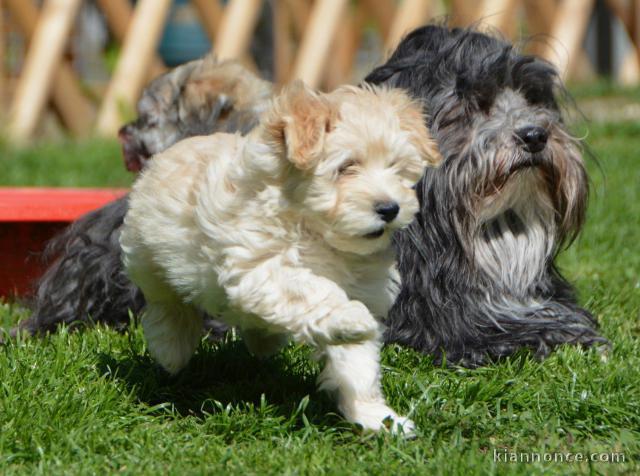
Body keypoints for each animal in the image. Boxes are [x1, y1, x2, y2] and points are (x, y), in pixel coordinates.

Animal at [121, 82, 440, 436]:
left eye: (396, 169)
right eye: (346, 167)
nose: (390, 208)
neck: (317, 231)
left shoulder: (363, 285)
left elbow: (357, 360)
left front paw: (377, 417)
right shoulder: (259, 265)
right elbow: (313, 291)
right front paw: (354, 318)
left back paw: (264, 340)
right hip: (148, 254)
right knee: (166, 302)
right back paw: (171, 347)